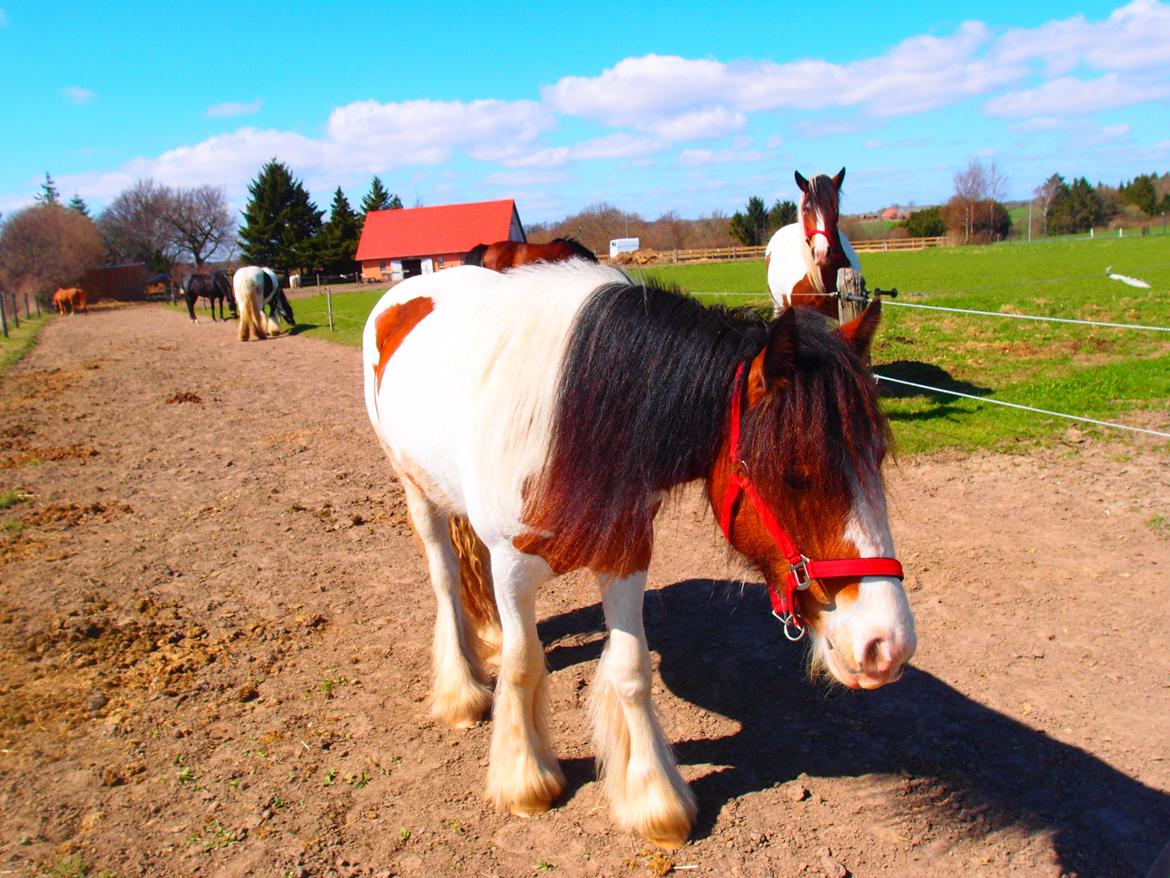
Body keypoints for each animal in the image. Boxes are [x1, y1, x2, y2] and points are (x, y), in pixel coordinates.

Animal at [360, 261, 917, 852]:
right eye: (796, 473)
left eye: (877, 456)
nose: (887, 646)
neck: (570, 420)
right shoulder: (511, 566)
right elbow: (524, 663)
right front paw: (526, 780)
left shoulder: (625, 555)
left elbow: (631, 670)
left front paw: (654, 800)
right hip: (416, 492)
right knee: (445, 581)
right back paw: (461, 692)